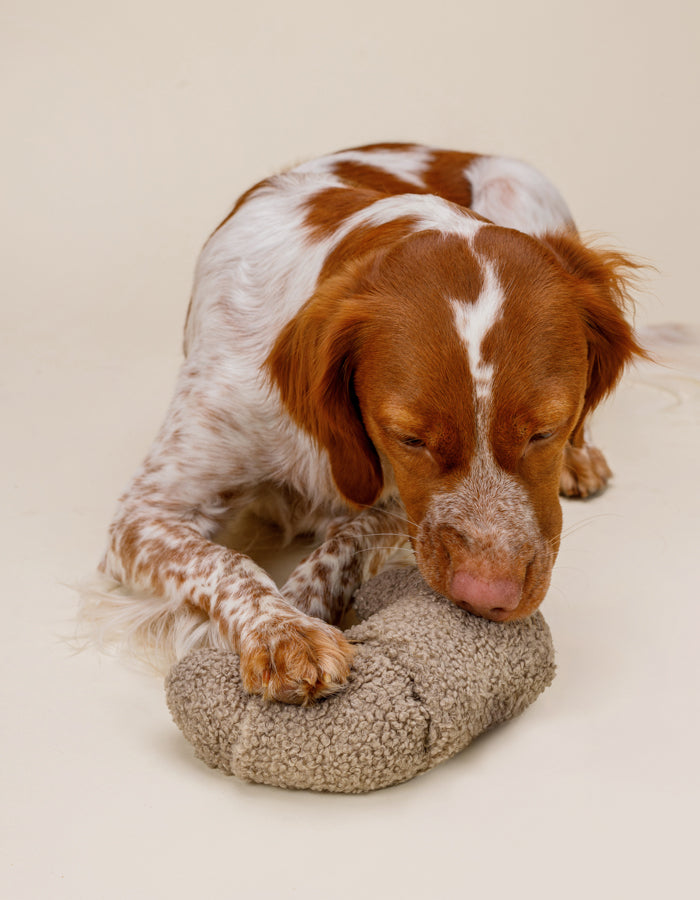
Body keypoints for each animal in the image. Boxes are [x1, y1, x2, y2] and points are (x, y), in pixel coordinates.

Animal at [89, 142, 644, 704]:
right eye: (409, 438)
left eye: (545, 430)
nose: (488, 596)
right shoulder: (143, 516)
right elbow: (226, 561)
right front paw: (284, 631)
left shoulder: (401, 509)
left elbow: (351, 537)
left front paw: (301, 606)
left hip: (519, 186)